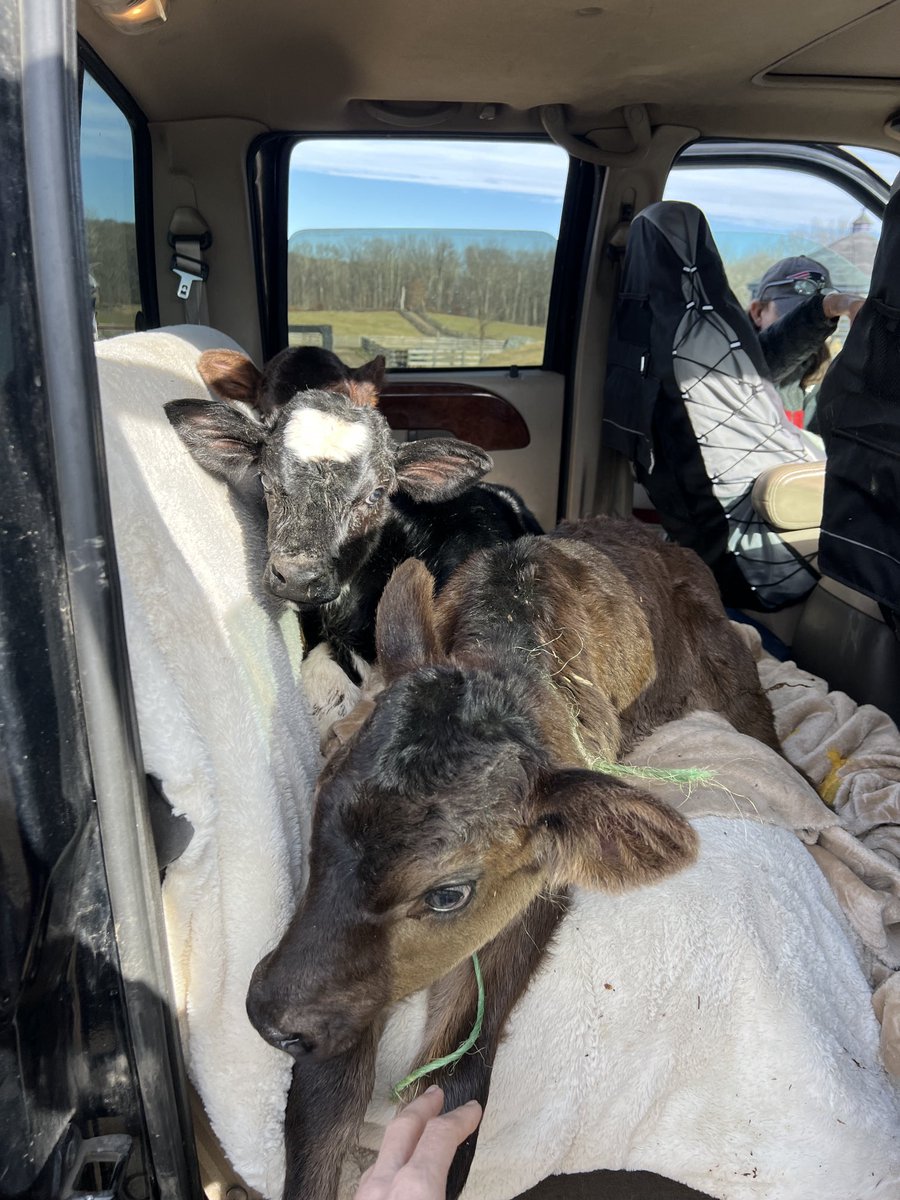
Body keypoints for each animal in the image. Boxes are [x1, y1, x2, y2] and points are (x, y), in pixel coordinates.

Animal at [247, 516, 782, 1200]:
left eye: (449, 893)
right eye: (318, 803)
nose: (269, 1017)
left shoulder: (533, 893)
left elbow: (458, 1074)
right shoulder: (336, 985)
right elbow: (324, 1106)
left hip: (735, 680)